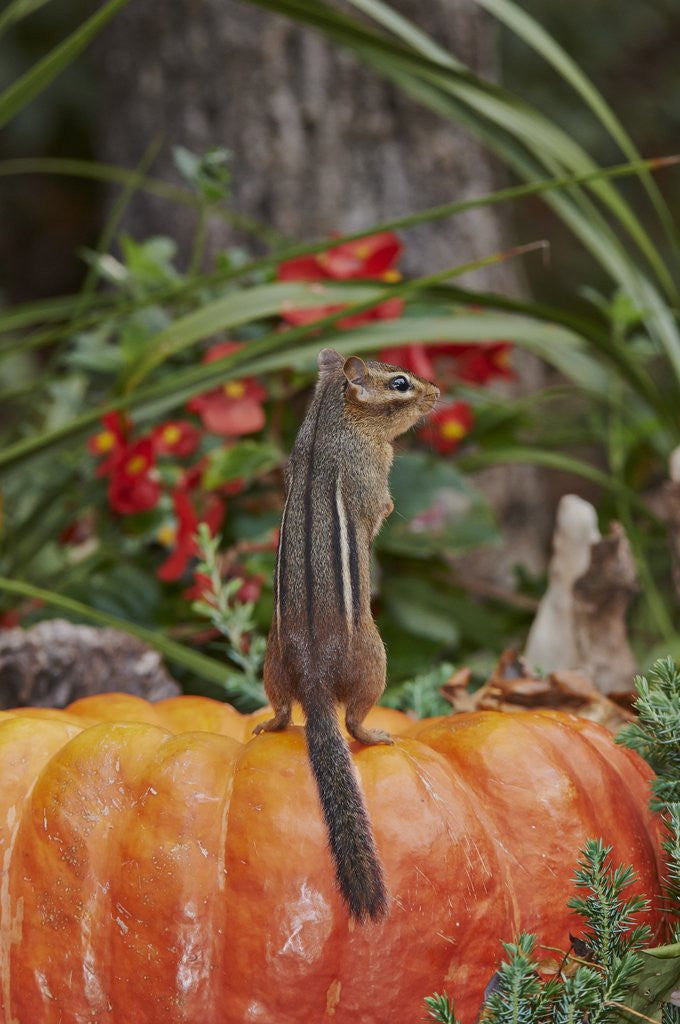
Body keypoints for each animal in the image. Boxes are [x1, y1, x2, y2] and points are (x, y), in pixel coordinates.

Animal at [253, 347, 439, 921]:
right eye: (400, 383)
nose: (438, 392)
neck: (329, 420)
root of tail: (313, 677)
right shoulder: (373, 470)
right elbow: (380, 507)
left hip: (271, 664)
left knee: (282, 708)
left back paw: (269, 724)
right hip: (375, 660)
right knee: (354, 719)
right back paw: (376, 734)